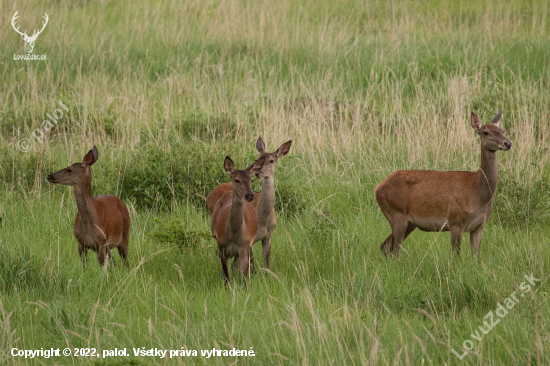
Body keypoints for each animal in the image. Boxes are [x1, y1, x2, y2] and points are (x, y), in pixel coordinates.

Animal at [207, 137, 294, 268]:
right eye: (257, 159)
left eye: (272, 160)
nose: (258, 173)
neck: (263, 219)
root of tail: (209, 195)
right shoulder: (250, 241)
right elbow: (251, 265)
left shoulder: (268, 236)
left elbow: (266, 263)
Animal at [211, 156, 268, 284]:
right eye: (236, 180)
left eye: (251, 179)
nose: (250, 195)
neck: (234, 235)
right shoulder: (222, 248)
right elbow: (227, 279)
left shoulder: (244, 249)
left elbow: (245, 280)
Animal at [378, 111, 516, 258]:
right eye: (485, 132)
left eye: (502, 130)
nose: (508, 143)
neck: (478, 194)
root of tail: (378, 188)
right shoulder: (455, 221)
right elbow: (456, 256)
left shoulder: (479, 226)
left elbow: (475, 257)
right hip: (397, 214)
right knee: (394, 250)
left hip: (409, 223)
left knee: (385, 246)